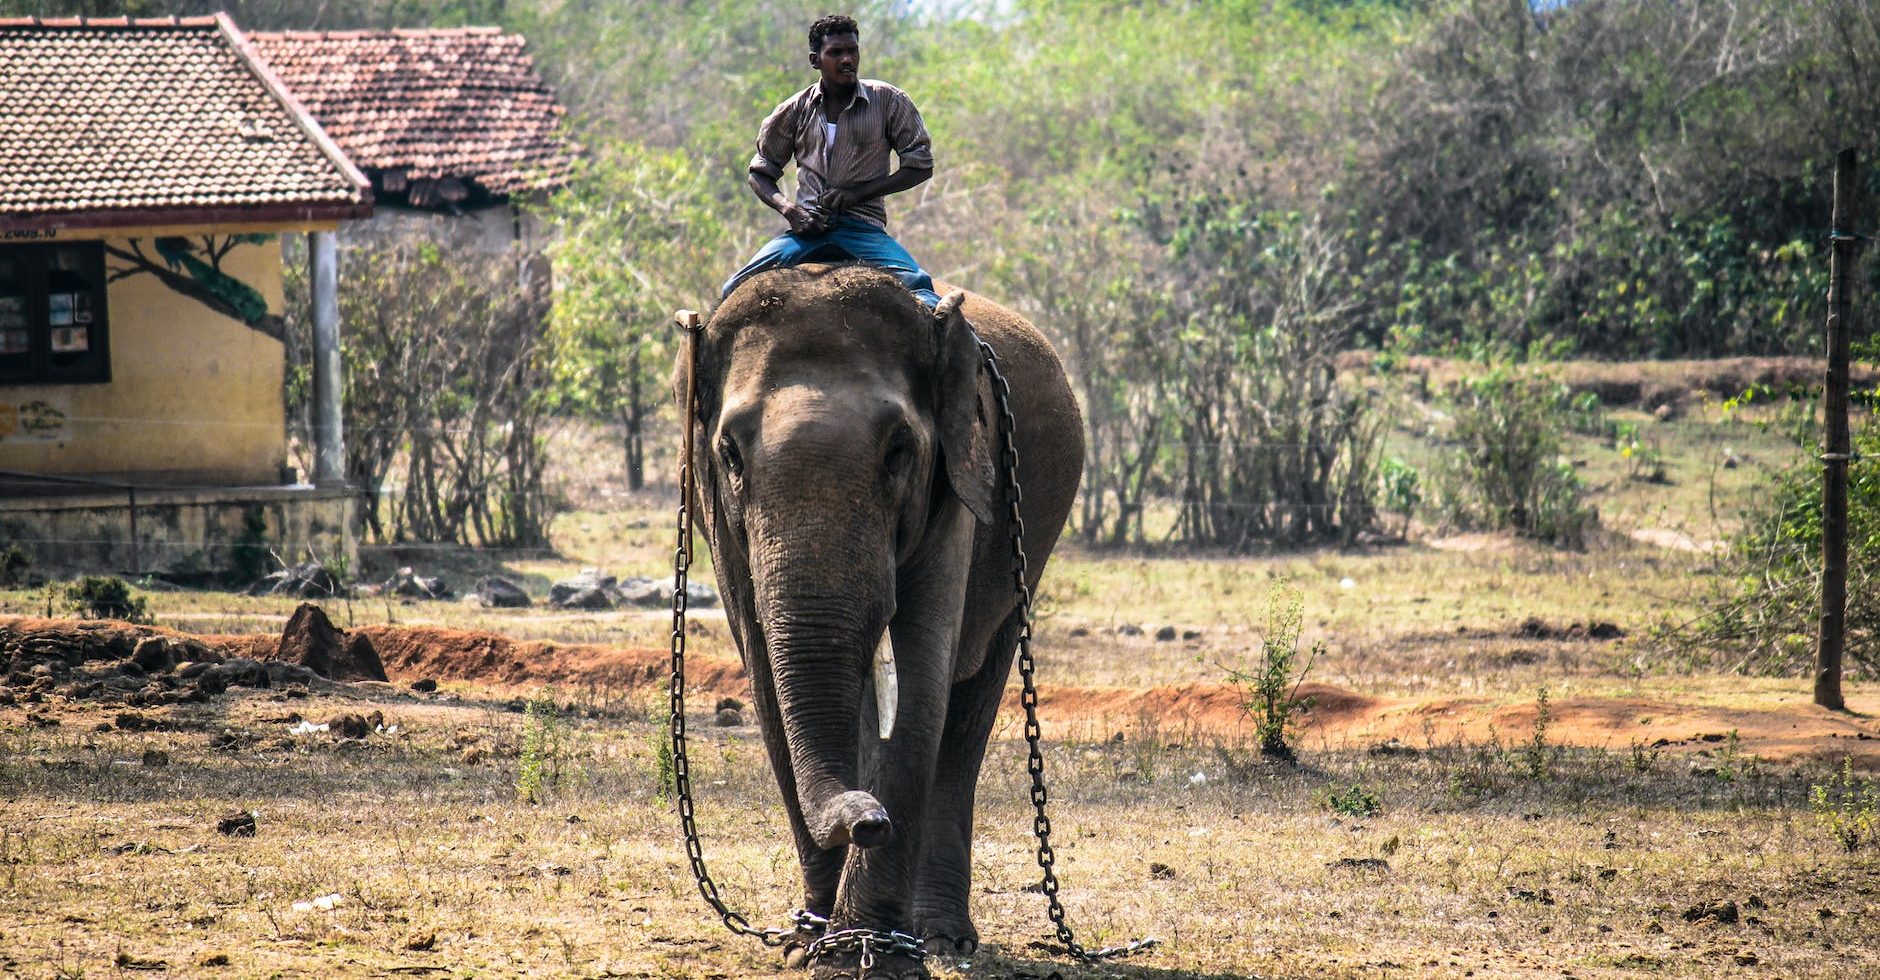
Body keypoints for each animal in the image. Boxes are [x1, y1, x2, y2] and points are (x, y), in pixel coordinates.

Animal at [677, 263, 1083, 979]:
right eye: (729, 454)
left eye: (899, 451)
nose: (870, 822)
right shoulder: (721, 523)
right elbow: (765, 677)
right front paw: (811, 945)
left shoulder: (960, 484)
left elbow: (921, 676)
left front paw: (869, 956)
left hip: (1027, 544)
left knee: (971, 701)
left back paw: (942, 938)